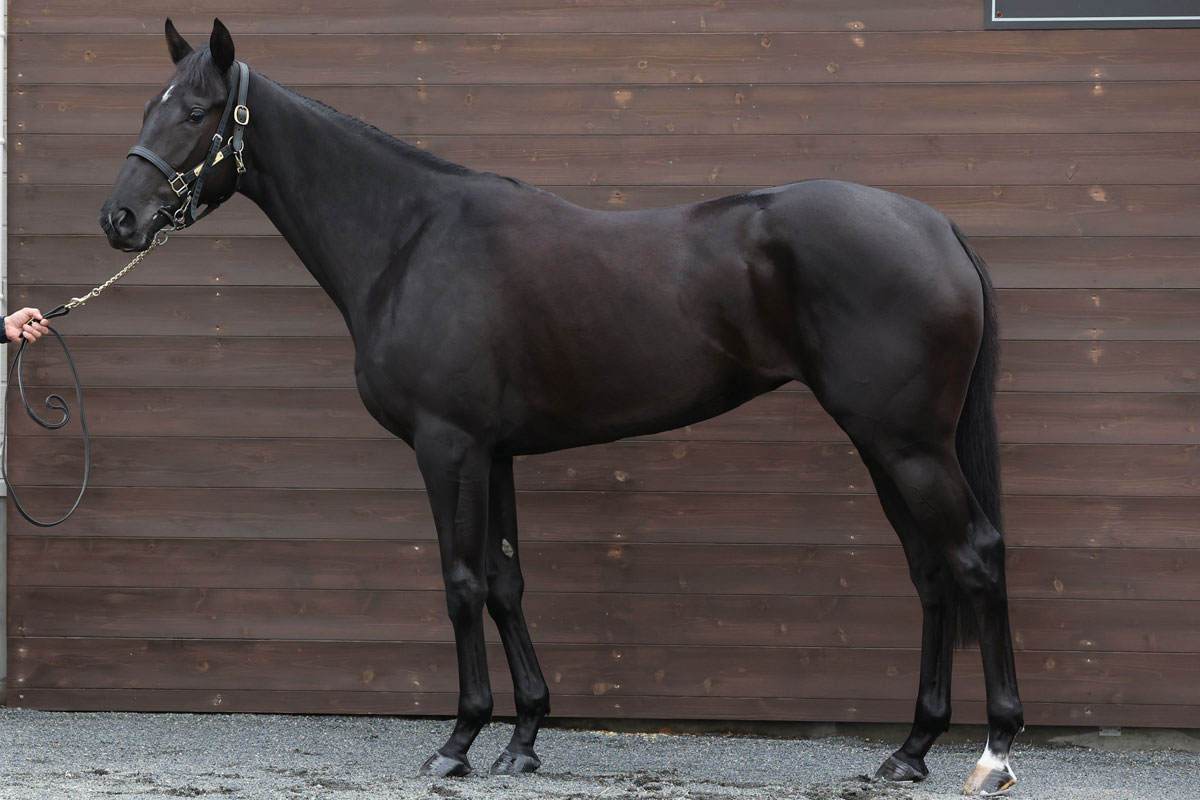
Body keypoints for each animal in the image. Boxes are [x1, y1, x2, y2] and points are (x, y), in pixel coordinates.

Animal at [100, 19, 1023, 796]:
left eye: (195, 111)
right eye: (149, 105)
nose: (119, 218)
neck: (410, 239)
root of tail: (936, 225)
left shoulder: (447, 446)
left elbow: (461, 583)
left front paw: (458, 741)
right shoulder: (495, 452)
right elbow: (507, 583)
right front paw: (523, 738)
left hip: (908, 444)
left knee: (975, 557)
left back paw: (993, 752)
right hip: (884, 446)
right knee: (932, 573)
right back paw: (909, 751)